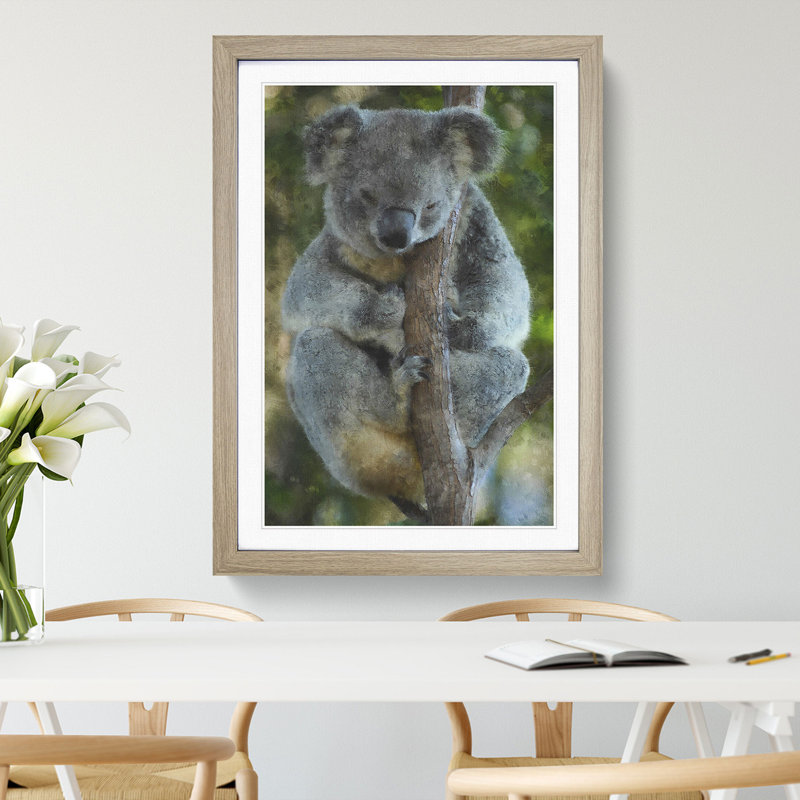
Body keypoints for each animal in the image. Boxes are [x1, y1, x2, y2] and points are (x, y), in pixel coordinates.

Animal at [280, 103, 531, 512]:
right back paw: (398, 390)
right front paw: (389, 310)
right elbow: (305, 288)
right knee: (316, 345)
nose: (396, 235)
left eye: (430, 205)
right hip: (339, 444)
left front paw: (457, 325)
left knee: (510, 366)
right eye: (367, 196)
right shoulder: (333, 248)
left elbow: (506, 288)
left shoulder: (475, 218)